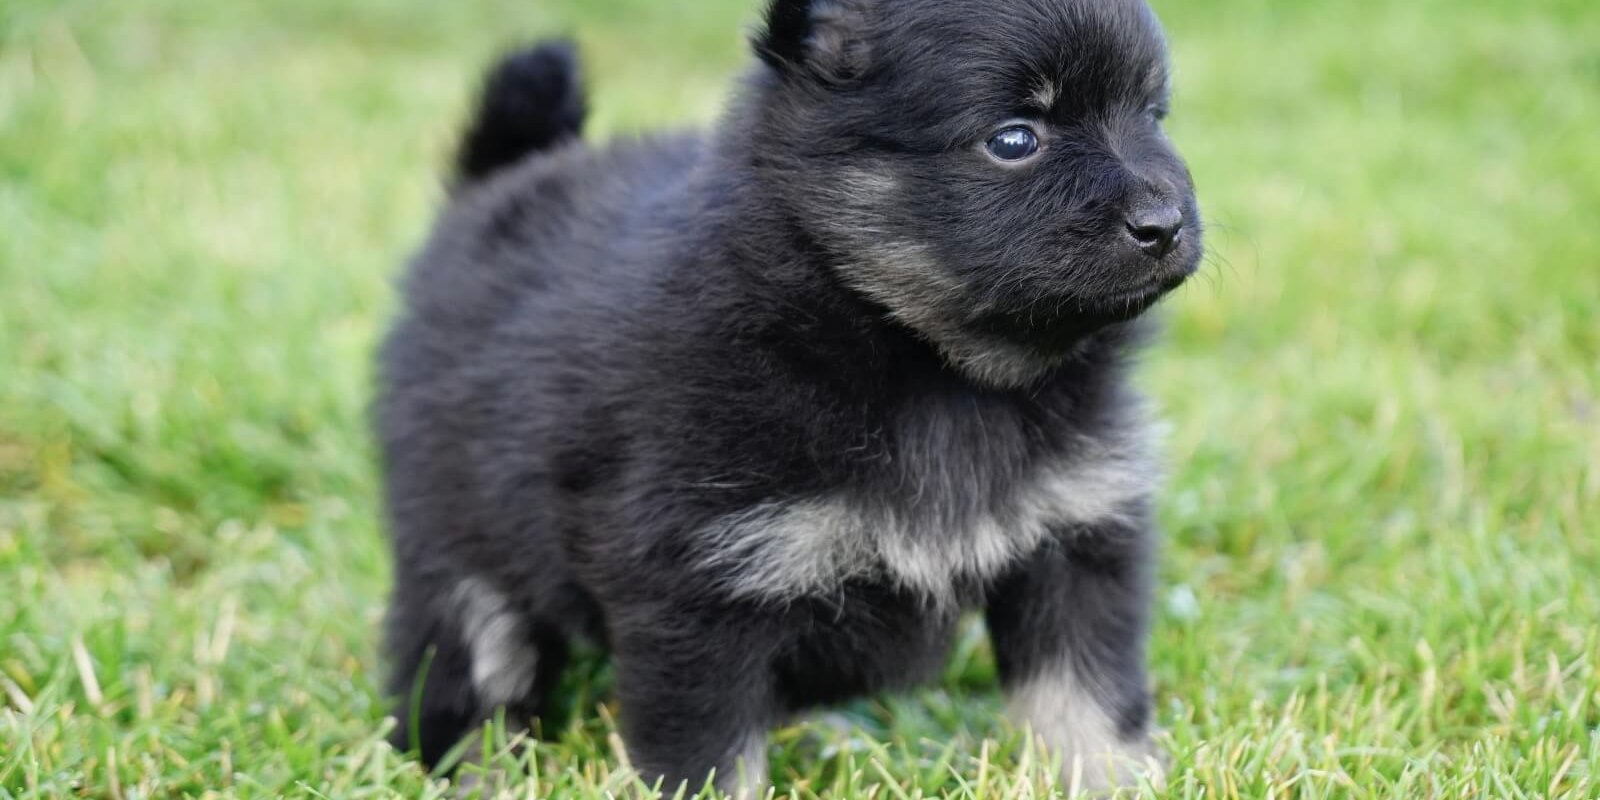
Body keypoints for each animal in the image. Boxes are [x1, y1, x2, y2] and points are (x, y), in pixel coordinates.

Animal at [376, 0, 1201, 794]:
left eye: (1152, 115)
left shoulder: (1076, 537)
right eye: (1015, 139)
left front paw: (1117, 780)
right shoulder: (697, 588)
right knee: (465, 664)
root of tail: (494, 187)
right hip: (456, 547)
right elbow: (708, 753)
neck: (930, 363)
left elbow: (1085, 699)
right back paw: (474, 769)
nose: (1165, 224)